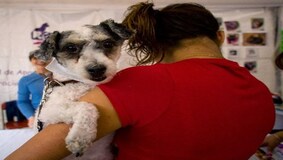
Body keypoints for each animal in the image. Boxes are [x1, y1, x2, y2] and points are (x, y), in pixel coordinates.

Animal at [34, 19, 133, 159]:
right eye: (71, 48)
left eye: (107, 44)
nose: (97, 69)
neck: (80, 83)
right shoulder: (46, 113)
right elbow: (87, 106)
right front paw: (80, 137)